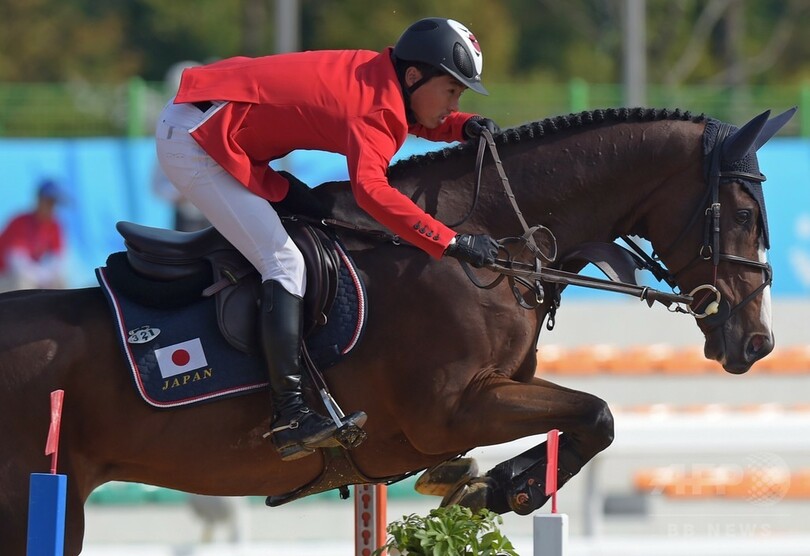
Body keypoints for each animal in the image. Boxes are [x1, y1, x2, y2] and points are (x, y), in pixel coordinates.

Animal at [0, 107, 792, 554]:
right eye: (743, 213)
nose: (756, 343)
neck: (483, 243)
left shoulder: (490, 396)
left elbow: (583, 418)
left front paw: (480, 484)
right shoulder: (448, 410)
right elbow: (596, 413)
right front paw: (497, 490)